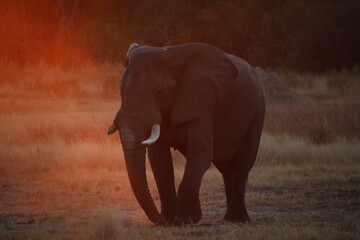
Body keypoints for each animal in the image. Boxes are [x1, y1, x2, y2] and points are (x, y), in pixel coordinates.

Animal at [107, 42, 264, 225]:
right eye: (120, 89)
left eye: (159, 91)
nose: (162, 221)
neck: (170, 53)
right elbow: (159, 160)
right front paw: (169, 219)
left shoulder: (203, 102)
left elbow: (201, 154)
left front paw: (184, 220)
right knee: (226, 169)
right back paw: (227, 218)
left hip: (258, 109)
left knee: (243, 163)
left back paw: (238, 219)